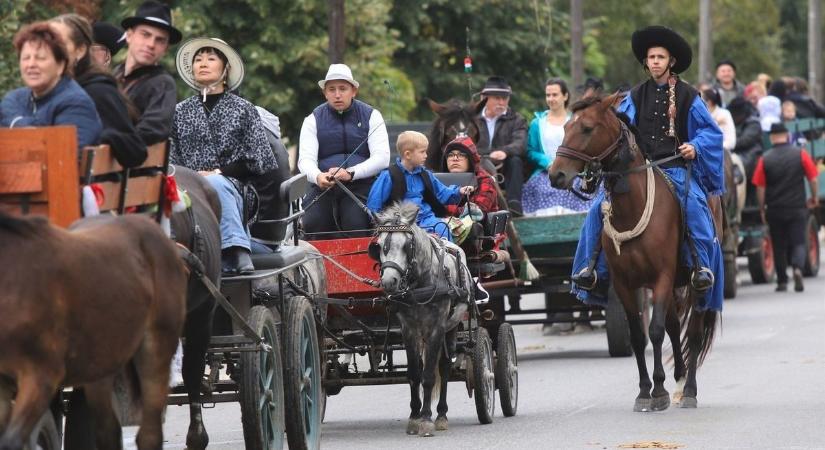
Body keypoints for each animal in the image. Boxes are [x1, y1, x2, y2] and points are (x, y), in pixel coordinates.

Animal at [372, 200, 470, 436]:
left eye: (407, 245)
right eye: (378, 246)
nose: (389, 281)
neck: (420, 284)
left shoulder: (436, 328)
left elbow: (428, 376)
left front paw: (426, 419)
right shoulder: (409, 330)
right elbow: (414, 374)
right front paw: (414, 417)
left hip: (451, 327)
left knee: (444, 367)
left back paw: (441, 415)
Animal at [552, 94, 716, 412]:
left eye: (587, 128)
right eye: (565, 126)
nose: (556, 174)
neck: (633, 208)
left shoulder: (661, 277)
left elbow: (655, 331)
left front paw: (659, 391)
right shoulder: (624, 284)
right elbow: (639, 336)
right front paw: (644, 391)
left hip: (695, 284)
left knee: (692, 331)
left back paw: (689, 390)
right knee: (674, 326)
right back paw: (679, 379)